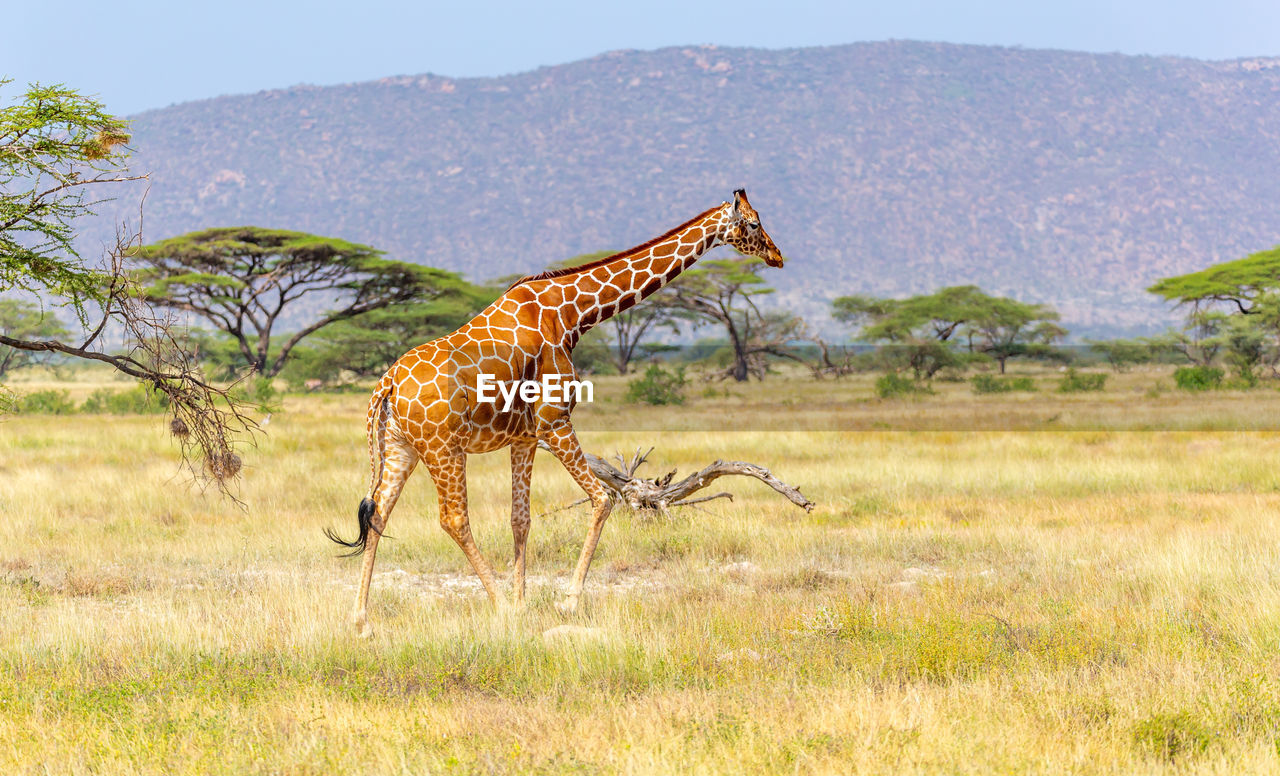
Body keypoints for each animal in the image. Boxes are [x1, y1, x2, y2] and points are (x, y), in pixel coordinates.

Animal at [325, 189, 783, 637]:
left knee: (379, 513)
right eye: (753, 224)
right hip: (444, 448)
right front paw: (565, 602)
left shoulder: (525, 437)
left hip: (403, 446)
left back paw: (361, 621)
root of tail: (387, 384)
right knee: (453, 519)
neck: (570, 314)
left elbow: (520, 519)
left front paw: (525, 603)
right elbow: (602, 498)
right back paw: (497, 606)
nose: (778, 256)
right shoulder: (555, 421)